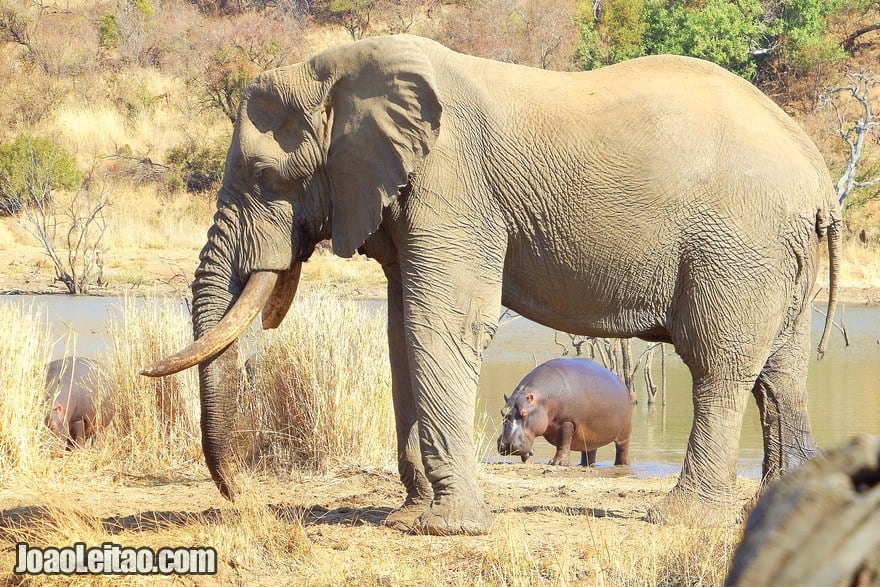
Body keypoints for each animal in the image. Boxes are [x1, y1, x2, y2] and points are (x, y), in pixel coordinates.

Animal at [496, 360, 632, 466]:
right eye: (502, 412)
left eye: (524, 413)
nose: (506, 445)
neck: (543, 398)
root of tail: (622, 384)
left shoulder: (567, 422)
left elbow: (563, 442)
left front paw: (557, 463)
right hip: (591, 436)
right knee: (589, 452)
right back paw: (584, 465)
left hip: (624, 433)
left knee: (622, 449)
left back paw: (621, 464)